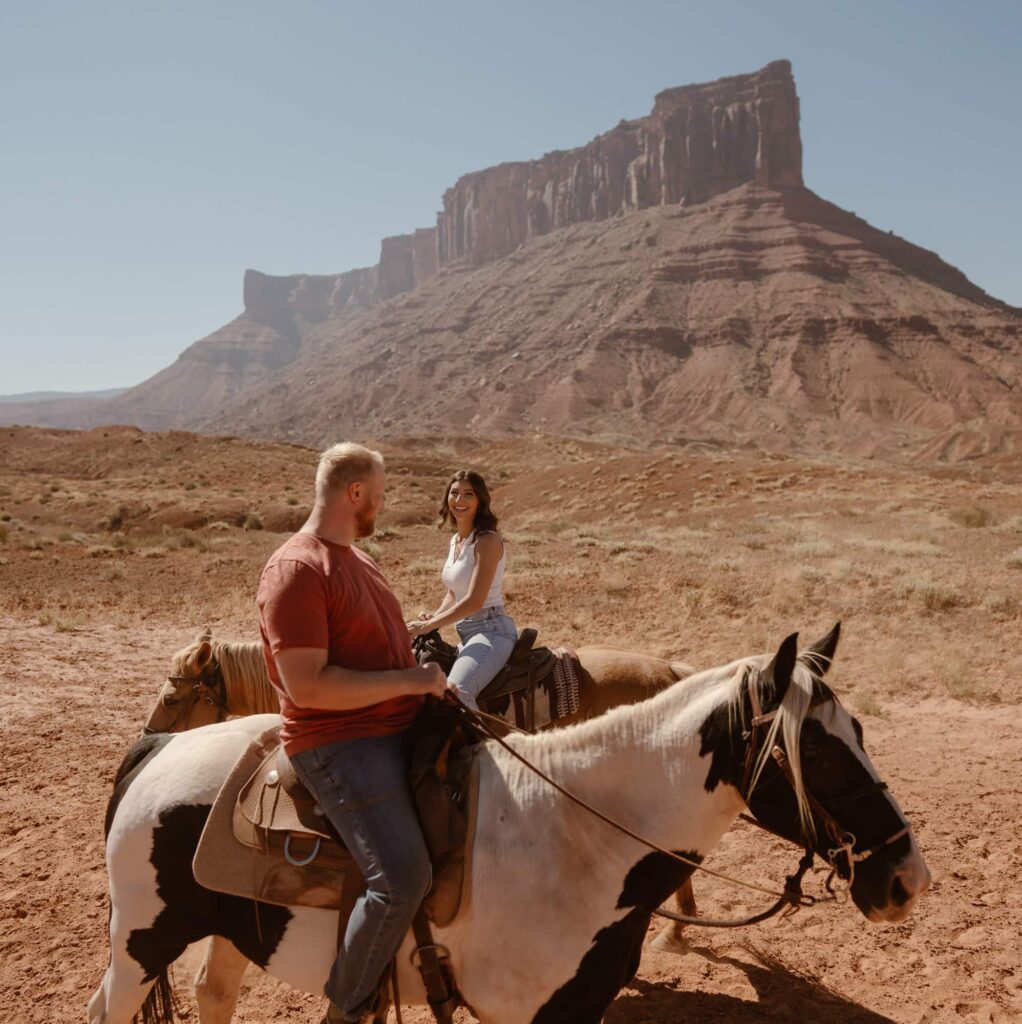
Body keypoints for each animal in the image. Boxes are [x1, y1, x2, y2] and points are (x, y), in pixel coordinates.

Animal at [92, 622, 933, 1024]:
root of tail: (156, 752)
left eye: (857, 732)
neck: (580, 841)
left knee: (212, 998)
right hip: (141, 941)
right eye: (814, 751)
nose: (908, 879)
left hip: (231, 931)